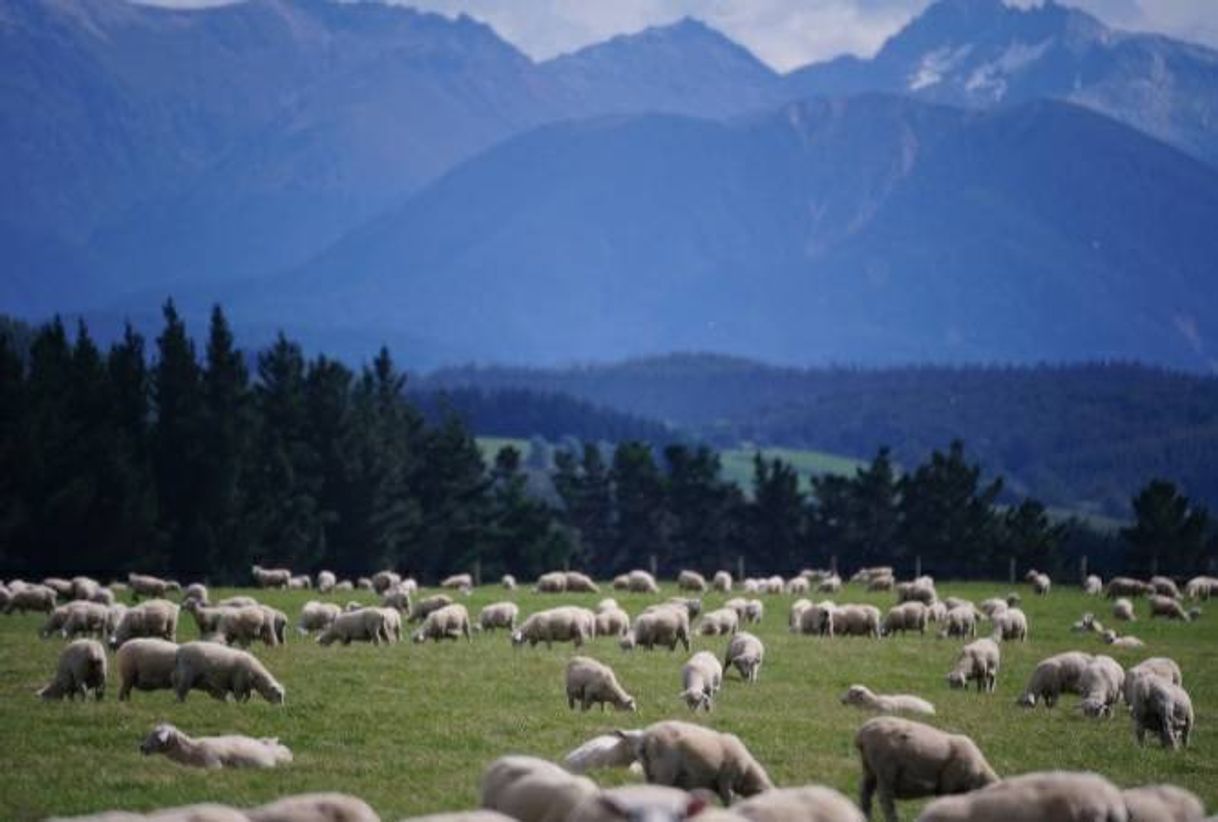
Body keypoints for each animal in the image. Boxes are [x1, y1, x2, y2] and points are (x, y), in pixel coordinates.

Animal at [613, 720, 774, 803]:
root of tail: (647, 738)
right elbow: (729, 798)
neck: (747, 771)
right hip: (664, 770)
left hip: (651, 771)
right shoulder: (726, 778)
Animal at [857, 716, 998, 822]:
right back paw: (893, 819)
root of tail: (863, 732)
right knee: (886, 800)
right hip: (885, 770)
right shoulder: (948, 786)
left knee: (865, 796)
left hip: (869, 769)